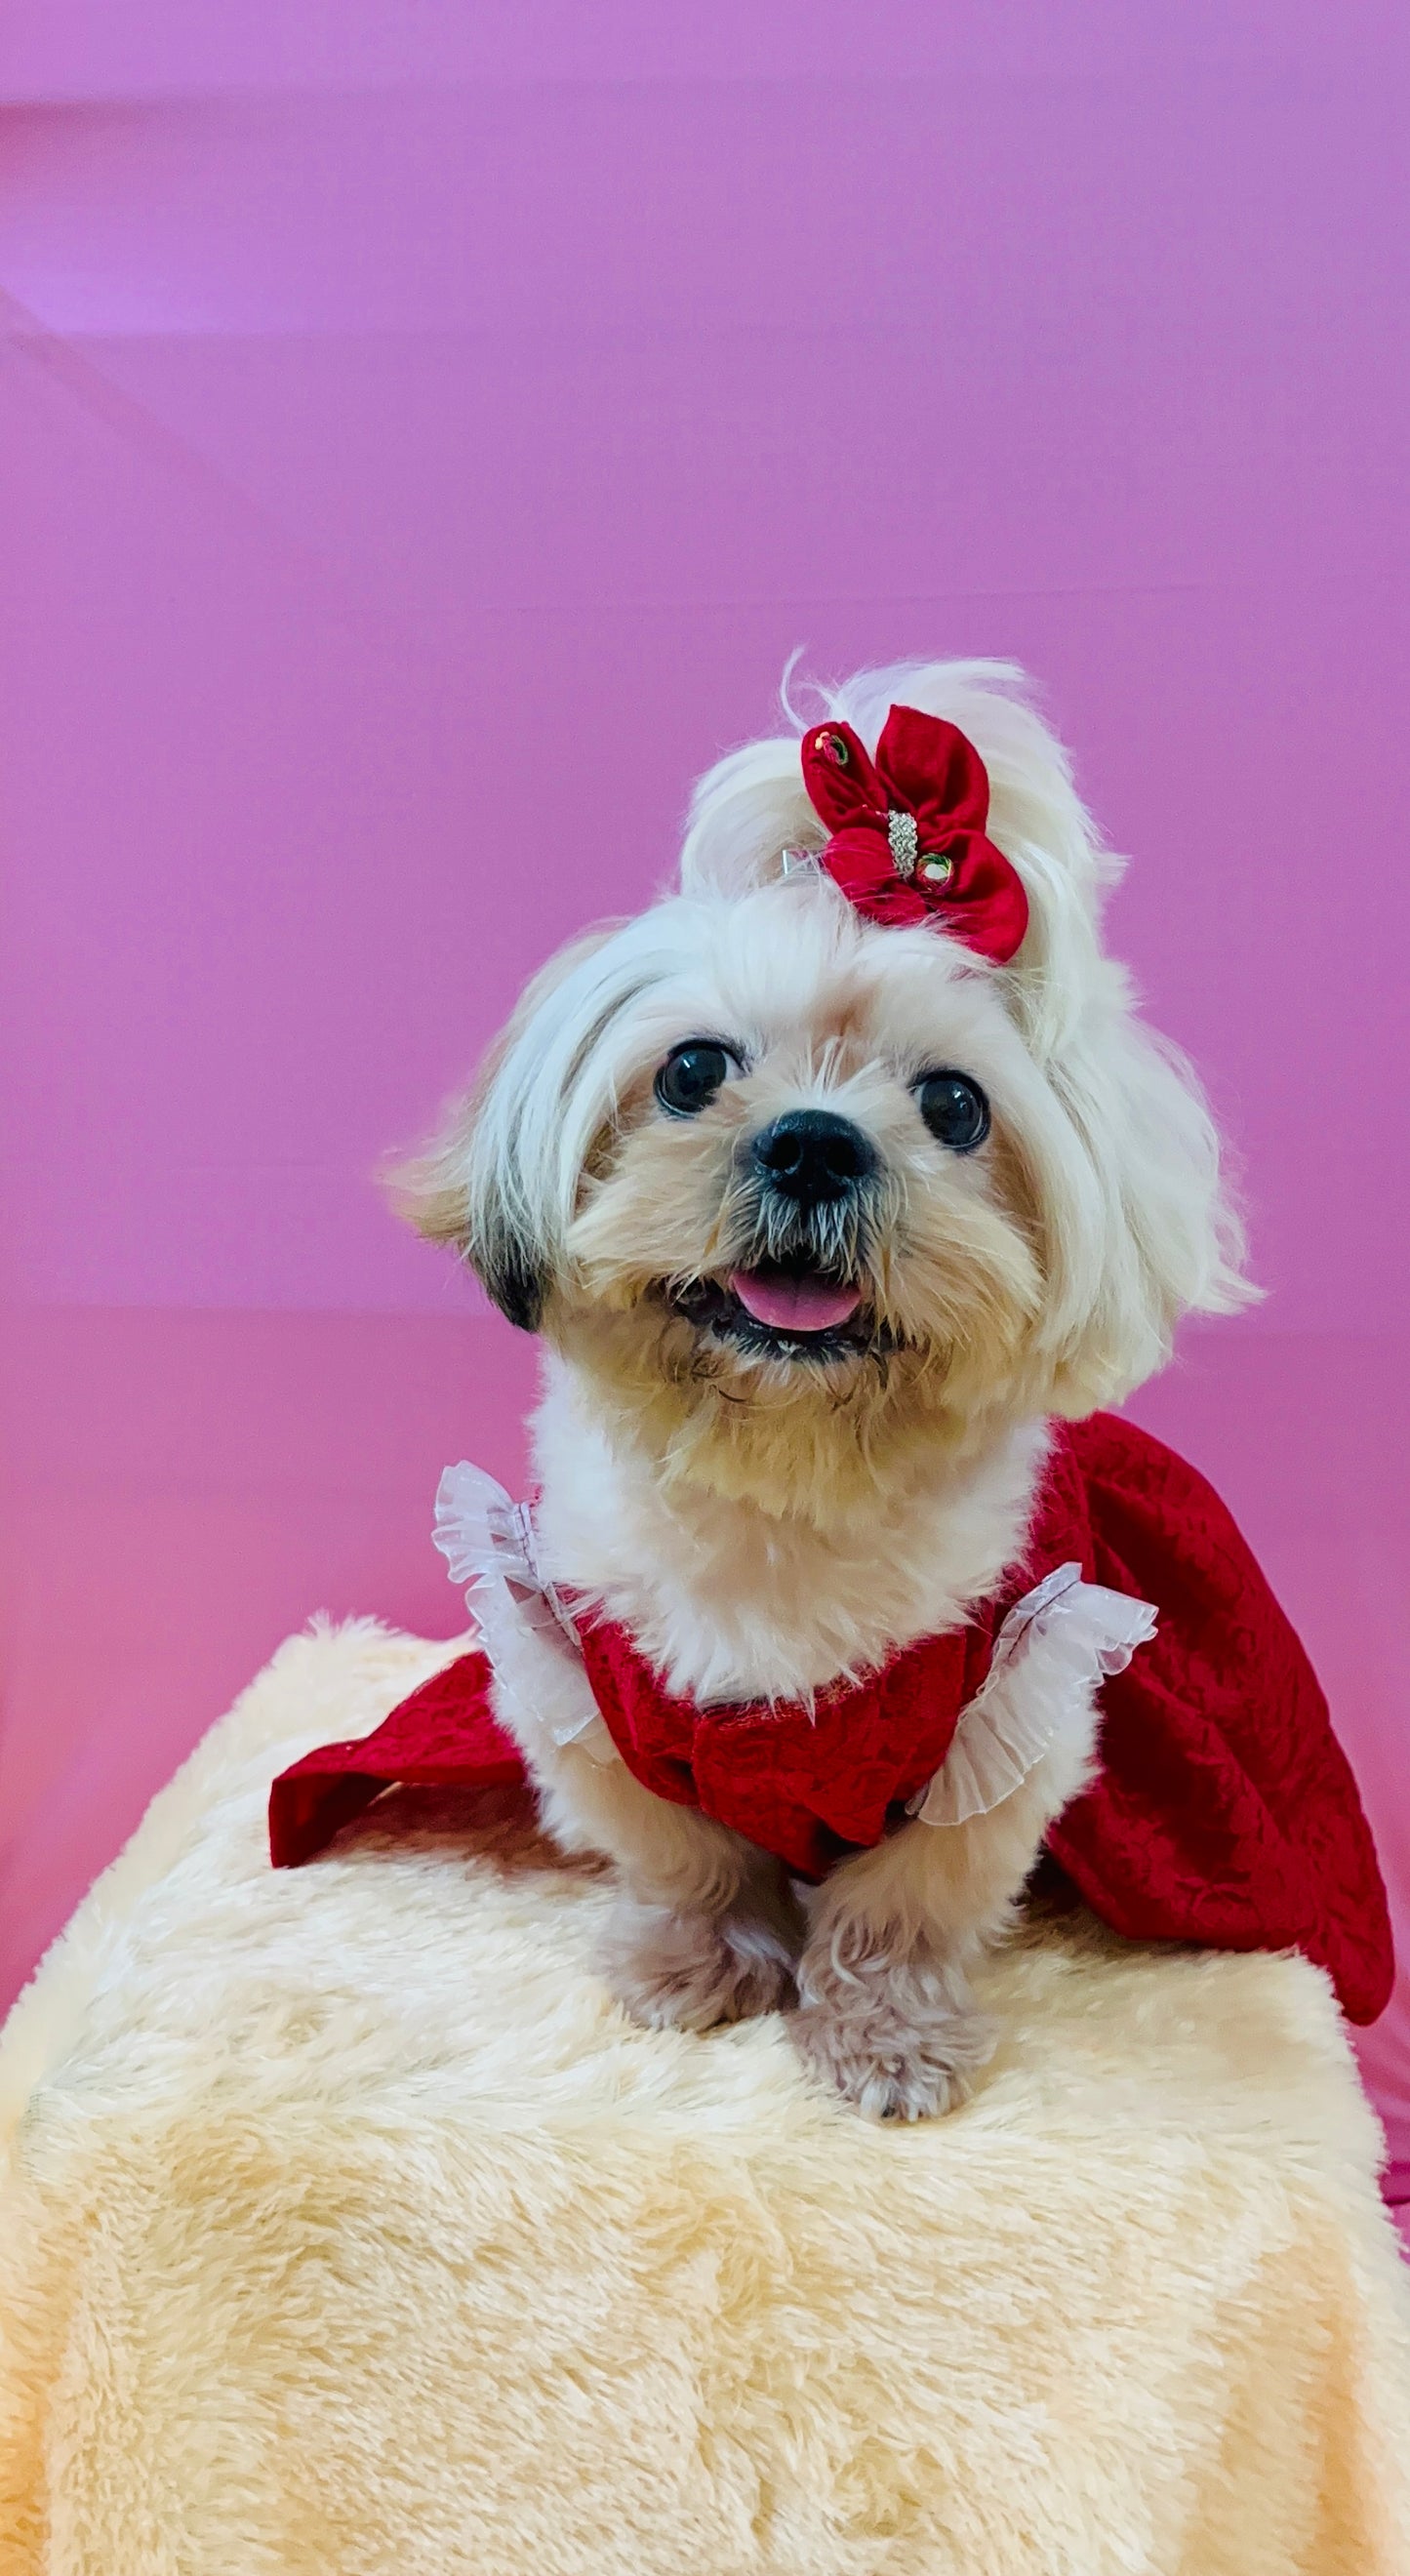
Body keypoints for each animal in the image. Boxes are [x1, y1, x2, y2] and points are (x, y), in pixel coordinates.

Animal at [396, 659, 1247, 2112]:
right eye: (692, 1070)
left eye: (955, 1106)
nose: (812, 1144)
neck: (783, 1491)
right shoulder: (588, 1697)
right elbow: (688, 1858)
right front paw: (697, 1967)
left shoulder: (1003, 1715)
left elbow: (901, 1902)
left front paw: (886, 2035)